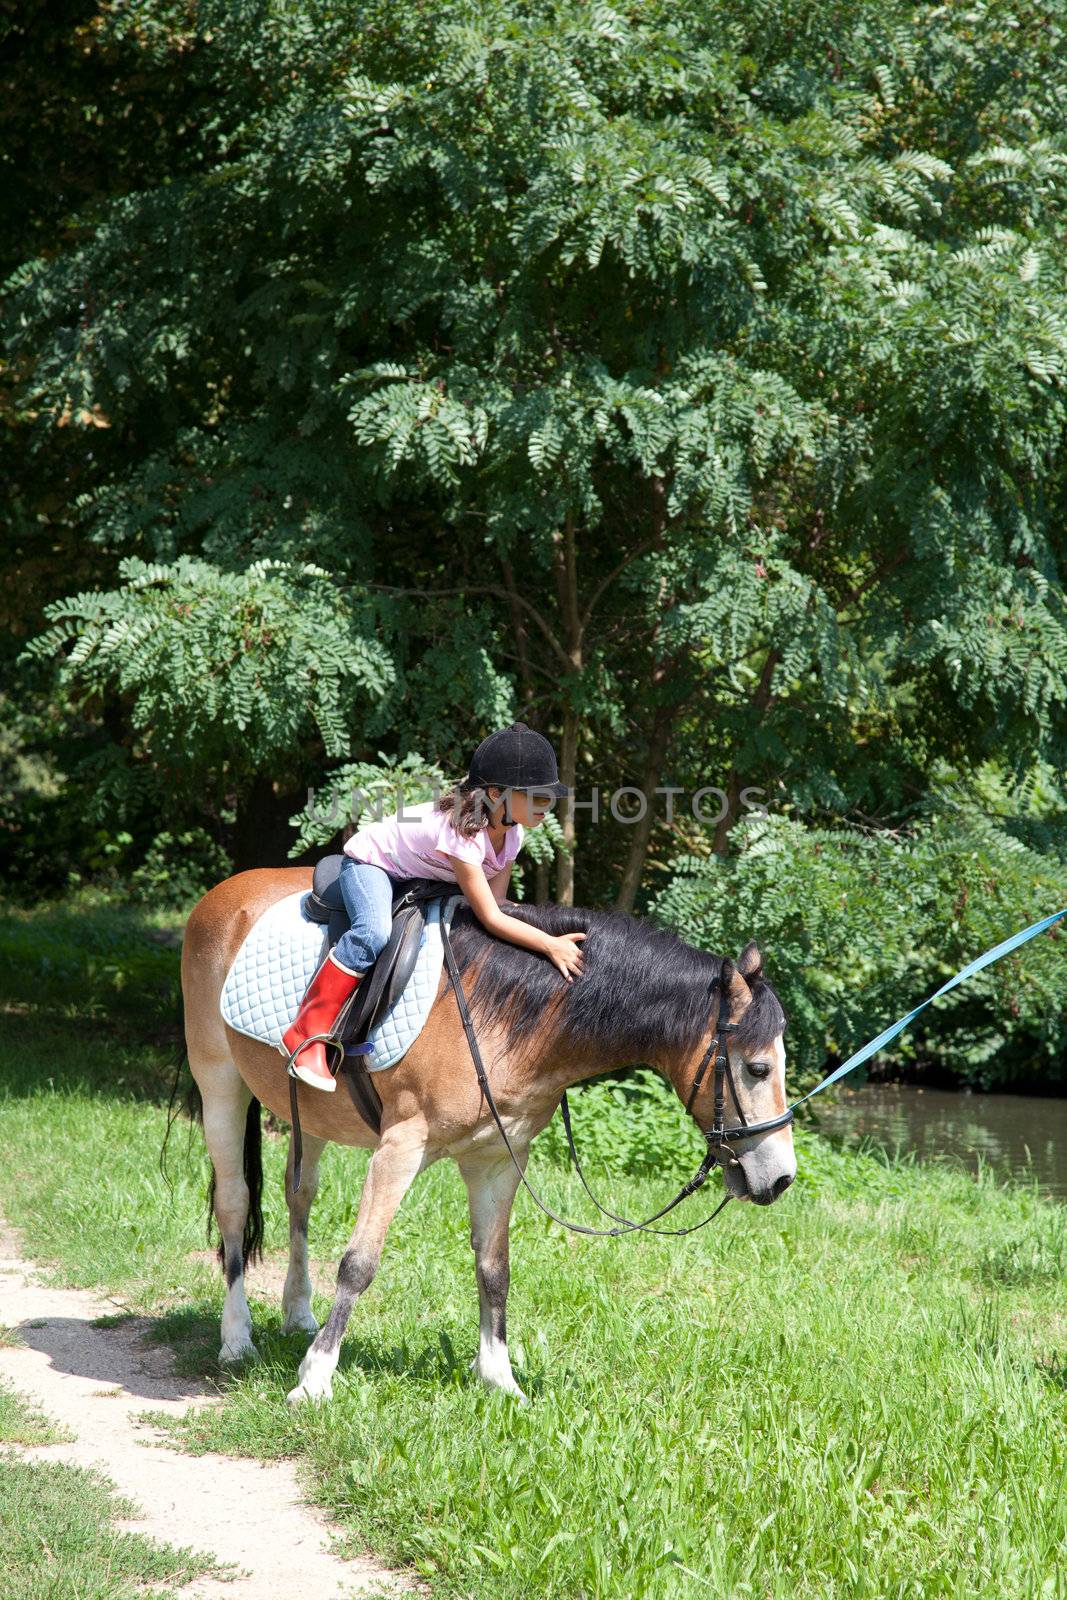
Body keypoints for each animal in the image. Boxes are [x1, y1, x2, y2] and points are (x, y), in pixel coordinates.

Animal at [181, 870, 793, 1408]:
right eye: (758, 1069)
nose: (782, 1177)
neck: (502, 1010)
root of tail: (226, 893)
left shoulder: (498, 1158)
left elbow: (495, 1269)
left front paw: (500, 1381)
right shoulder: (400, 1149)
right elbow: (359, 1263)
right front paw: (314, 1382)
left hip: (310, 1119)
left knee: (299, 1196)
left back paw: (297, 1313)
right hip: (220, 1084)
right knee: (234, 1202)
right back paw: (236, 1339)